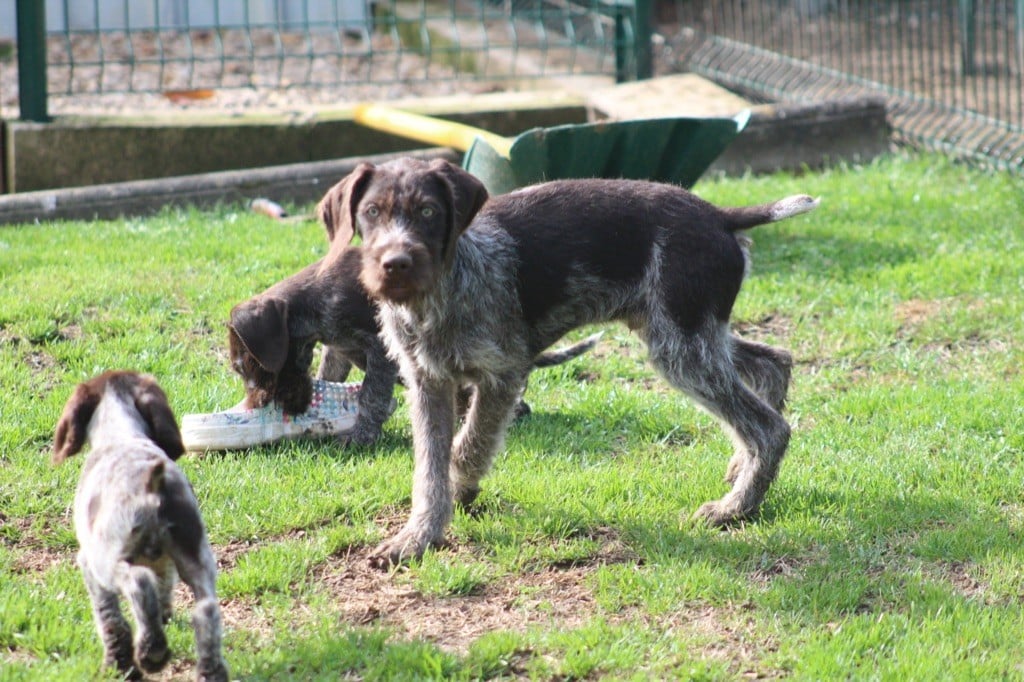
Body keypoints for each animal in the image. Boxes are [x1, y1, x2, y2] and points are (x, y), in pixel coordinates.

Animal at [52, 372, 228, 679]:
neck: (121, 434)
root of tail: (151, 486)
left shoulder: (89, 563)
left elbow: (109, 618)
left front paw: (118, 664)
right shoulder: (164, 560)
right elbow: (163, 587)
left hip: (108, 561)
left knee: (139, 583)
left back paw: (152, 651)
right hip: (197, 557)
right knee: (206, 610)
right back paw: (211, 671)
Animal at [315, 157, 819, 561]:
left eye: (428, 212)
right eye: (371, 213)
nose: (395, 264)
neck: (438, 293)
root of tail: (719, 216)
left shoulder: (502, 374)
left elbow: (467, 446)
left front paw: (463, 490)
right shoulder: (428, 383)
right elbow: (428, 470)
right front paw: (419, 536)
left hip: (682, 345)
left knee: (770, 426)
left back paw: (737, 507)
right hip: (692, 332)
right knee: (774, 362)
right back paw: (741, 467)